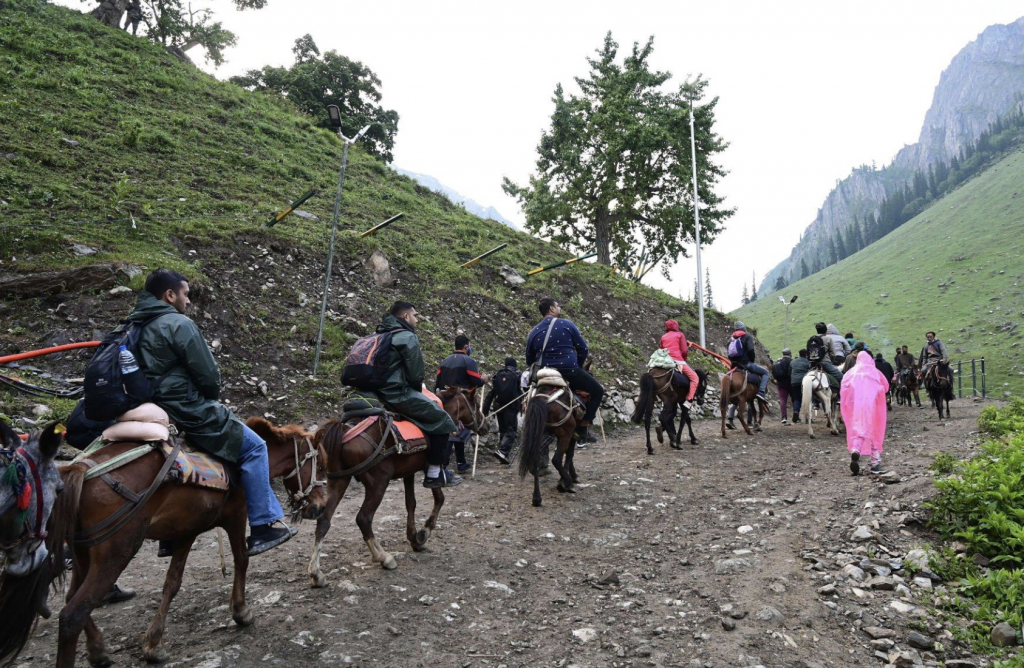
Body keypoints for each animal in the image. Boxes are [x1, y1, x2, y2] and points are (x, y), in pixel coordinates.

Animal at [33, 420, 323, 667]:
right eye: (318, 462)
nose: (318, 506)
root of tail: (82, 470)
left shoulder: (185, 531)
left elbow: (171, 583)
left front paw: (154, 644)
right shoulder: (237, 516)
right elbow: (242, 559)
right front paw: (241, 611)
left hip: (83, 553)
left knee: (73, 597)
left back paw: (98, 651)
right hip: (116, 552)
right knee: (72, 614)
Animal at [307, 385, 483, 586]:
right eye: (475, 403)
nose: (485, 425)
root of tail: (345, 429)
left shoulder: (409, 472)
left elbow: (411, 503)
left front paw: (413, 538)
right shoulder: (429, 468)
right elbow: (439, 498)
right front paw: (423, 533)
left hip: (339, 480)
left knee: (324, 520)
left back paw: (316, 573)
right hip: (378, 482)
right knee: (363, 518)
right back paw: (383, 557)